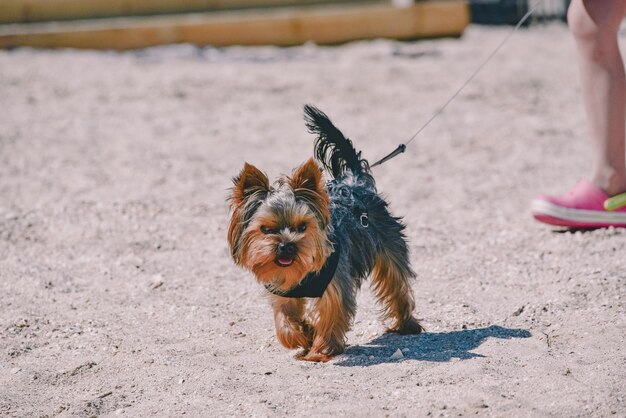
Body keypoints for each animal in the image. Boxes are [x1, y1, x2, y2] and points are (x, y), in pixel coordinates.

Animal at [224, 105, 420, 362]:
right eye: (266, 229)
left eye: (302, 227)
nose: (286, 246)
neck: (302, 273)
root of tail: (355, 181)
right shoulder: (282, 287)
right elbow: (284, 320)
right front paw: (303, 336)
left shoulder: (335, 284)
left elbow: (331, 313)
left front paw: (320, 350)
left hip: (389, 243)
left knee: (396, 283)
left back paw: (407, 324)